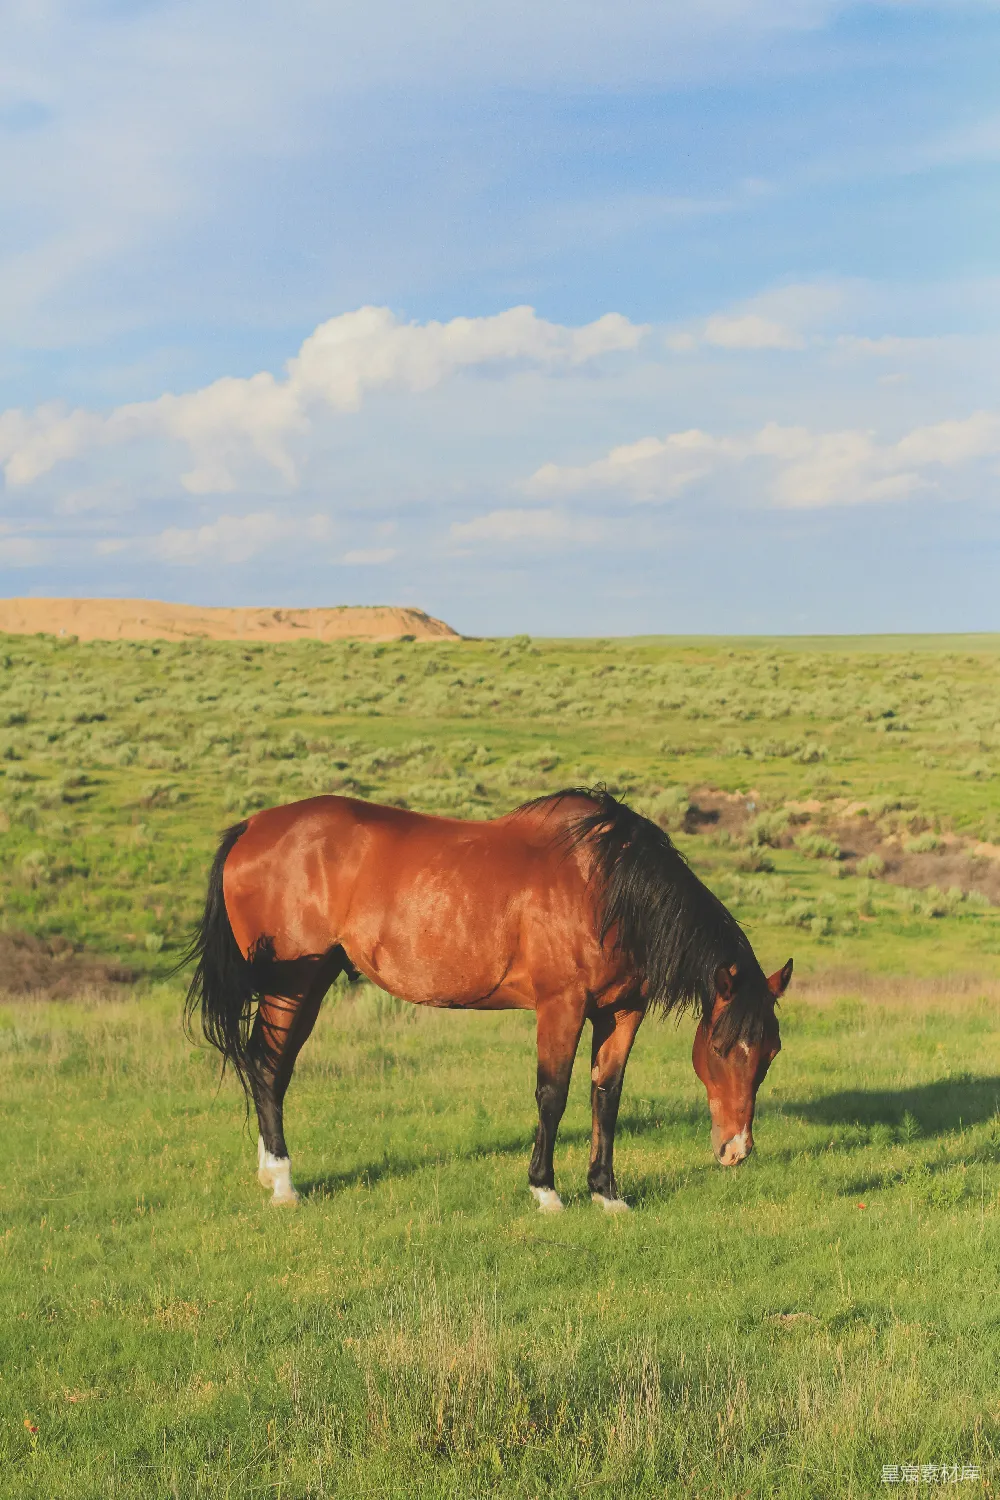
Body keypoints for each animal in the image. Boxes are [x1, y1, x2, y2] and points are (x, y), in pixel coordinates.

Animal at [185, 786, 790, 1211]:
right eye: (721, 1047)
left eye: (770, 1054)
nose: (737, 1150)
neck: (608, 886)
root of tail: (252, 826)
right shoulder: (562, 1006)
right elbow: (552, 1094)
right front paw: (546, 1191)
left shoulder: (622, 1012)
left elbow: (607, 1095)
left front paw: (606, 1191)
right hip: (292, 985)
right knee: (267, 1067)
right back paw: (283, 1182)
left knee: (271, 1068)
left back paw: (270, 1172)